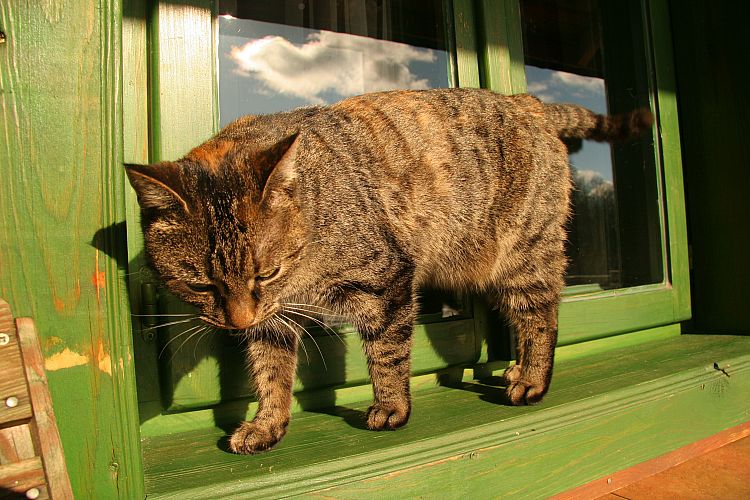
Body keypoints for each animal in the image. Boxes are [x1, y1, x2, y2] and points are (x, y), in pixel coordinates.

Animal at [125, 88, 652, 454]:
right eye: (201, 284)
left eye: (267, 272)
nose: (237, 321)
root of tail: (527, 101)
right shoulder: (273, 321)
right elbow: (271, 376)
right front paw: (268, 425)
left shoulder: (388, 281)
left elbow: (387, 354)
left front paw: (392, 408)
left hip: (525, 255)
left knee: (542, 316)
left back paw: (533, 379)